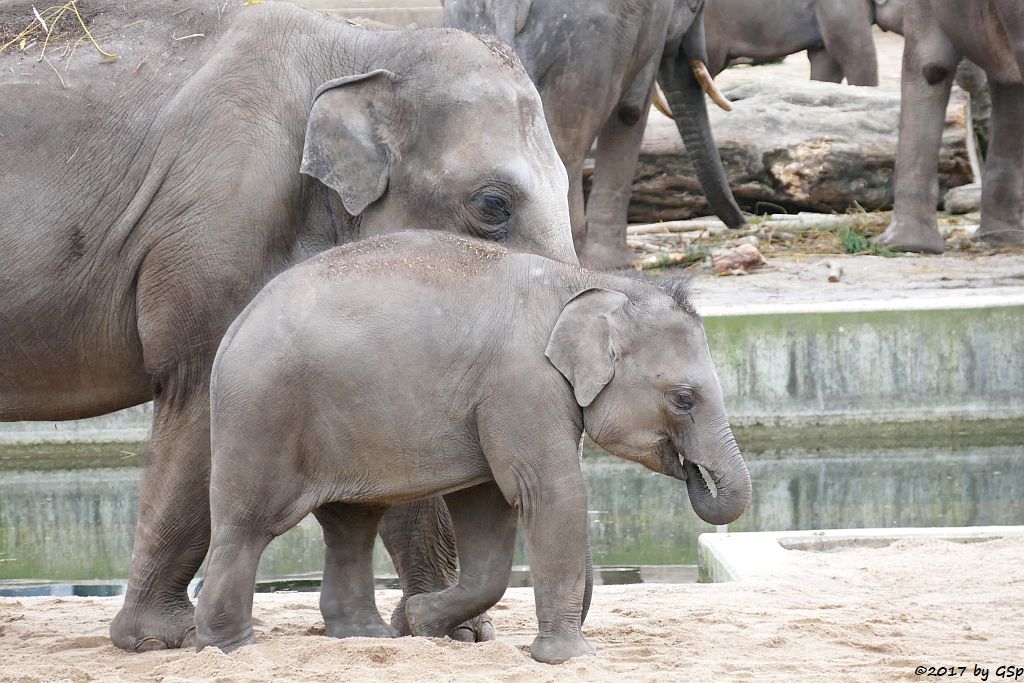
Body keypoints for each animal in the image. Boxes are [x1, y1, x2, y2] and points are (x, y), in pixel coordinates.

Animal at [0, 0, 577, 651]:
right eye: (492, 206)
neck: (361, 45)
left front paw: (451, 635)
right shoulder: (222, 221)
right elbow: (199, 403)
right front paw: (161, 640)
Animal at [193, 229, 753, 663]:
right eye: (683, 399)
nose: (692, 469)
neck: (584, 284)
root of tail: (234, 329)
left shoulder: (493, 399)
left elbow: (489, 507)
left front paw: (420, 622)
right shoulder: (521, 384)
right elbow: (548, 494)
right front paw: (571, 659)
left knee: (352, 524)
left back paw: (368, 638)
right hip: (262, 416)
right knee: (248, 528)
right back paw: (231, 651)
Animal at [440, 0, 745, 270]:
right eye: (694, 7)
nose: (741, 221)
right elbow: (631, 112)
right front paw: (620, 262)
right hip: (585, 52)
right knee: (569, 146)